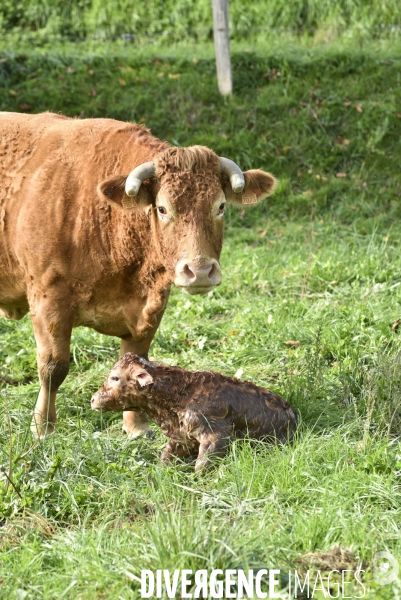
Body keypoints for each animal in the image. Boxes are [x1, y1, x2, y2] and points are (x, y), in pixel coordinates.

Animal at [0, 111, 276, 436]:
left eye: (220, 206)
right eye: (162, 209)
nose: (200, 271)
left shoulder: (151, 305)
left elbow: (135, 362)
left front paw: (136, 428)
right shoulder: (47, 298)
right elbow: (53, 367)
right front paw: (42, 428)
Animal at [91, 352, 296, 474]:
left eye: (115, 377)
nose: (93, 399)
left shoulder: (215, 434)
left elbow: (202, 463)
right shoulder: (181, 435)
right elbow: (167, 455)